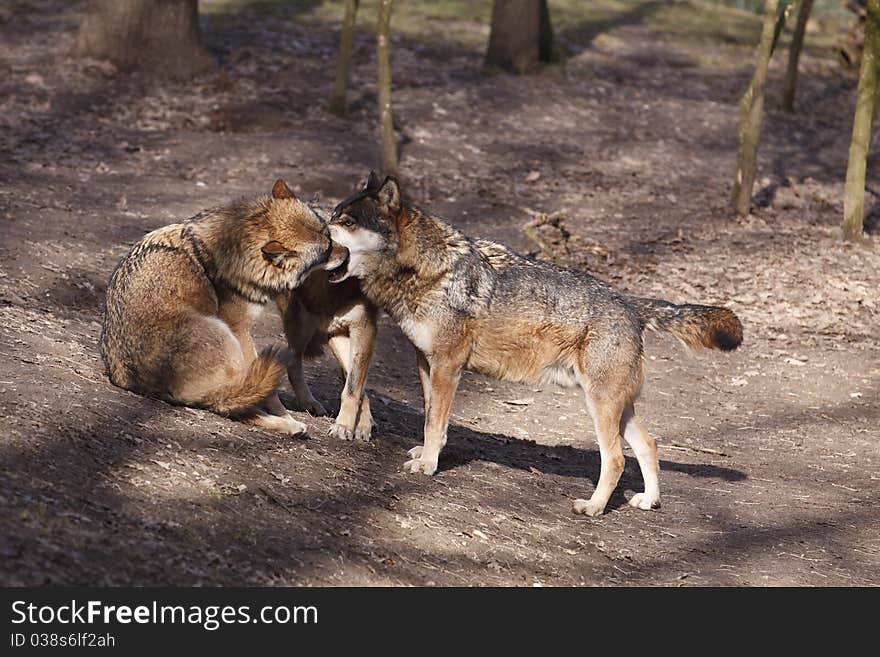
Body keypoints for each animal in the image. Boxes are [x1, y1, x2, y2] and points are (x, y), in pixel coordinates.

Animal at [101, 179, 348, 436]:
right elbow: (269, 392)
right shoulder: (240, 329)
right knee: (231, 404)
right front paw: (285, 414)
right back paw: (290, 424)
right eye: (325, 251)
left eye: (329, 236)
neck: (237, 248)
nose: (348, 252)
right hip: (224, 333)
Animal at [326, 172, 740, 516]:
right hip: (618, 408)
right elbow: (431, 420)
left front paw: (427, 466)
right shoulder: (426, 364)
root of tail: (629, 303)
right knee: (649, 446)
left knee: (617, 460)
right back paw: (648, 501)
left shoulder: (448, 367)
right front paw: (427, 454)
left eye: (346, 223)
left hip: (601, 406)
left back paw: (593, 507)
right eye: (333, 216)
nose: (320, 233)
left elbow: (434, 424)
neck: (428, 270)